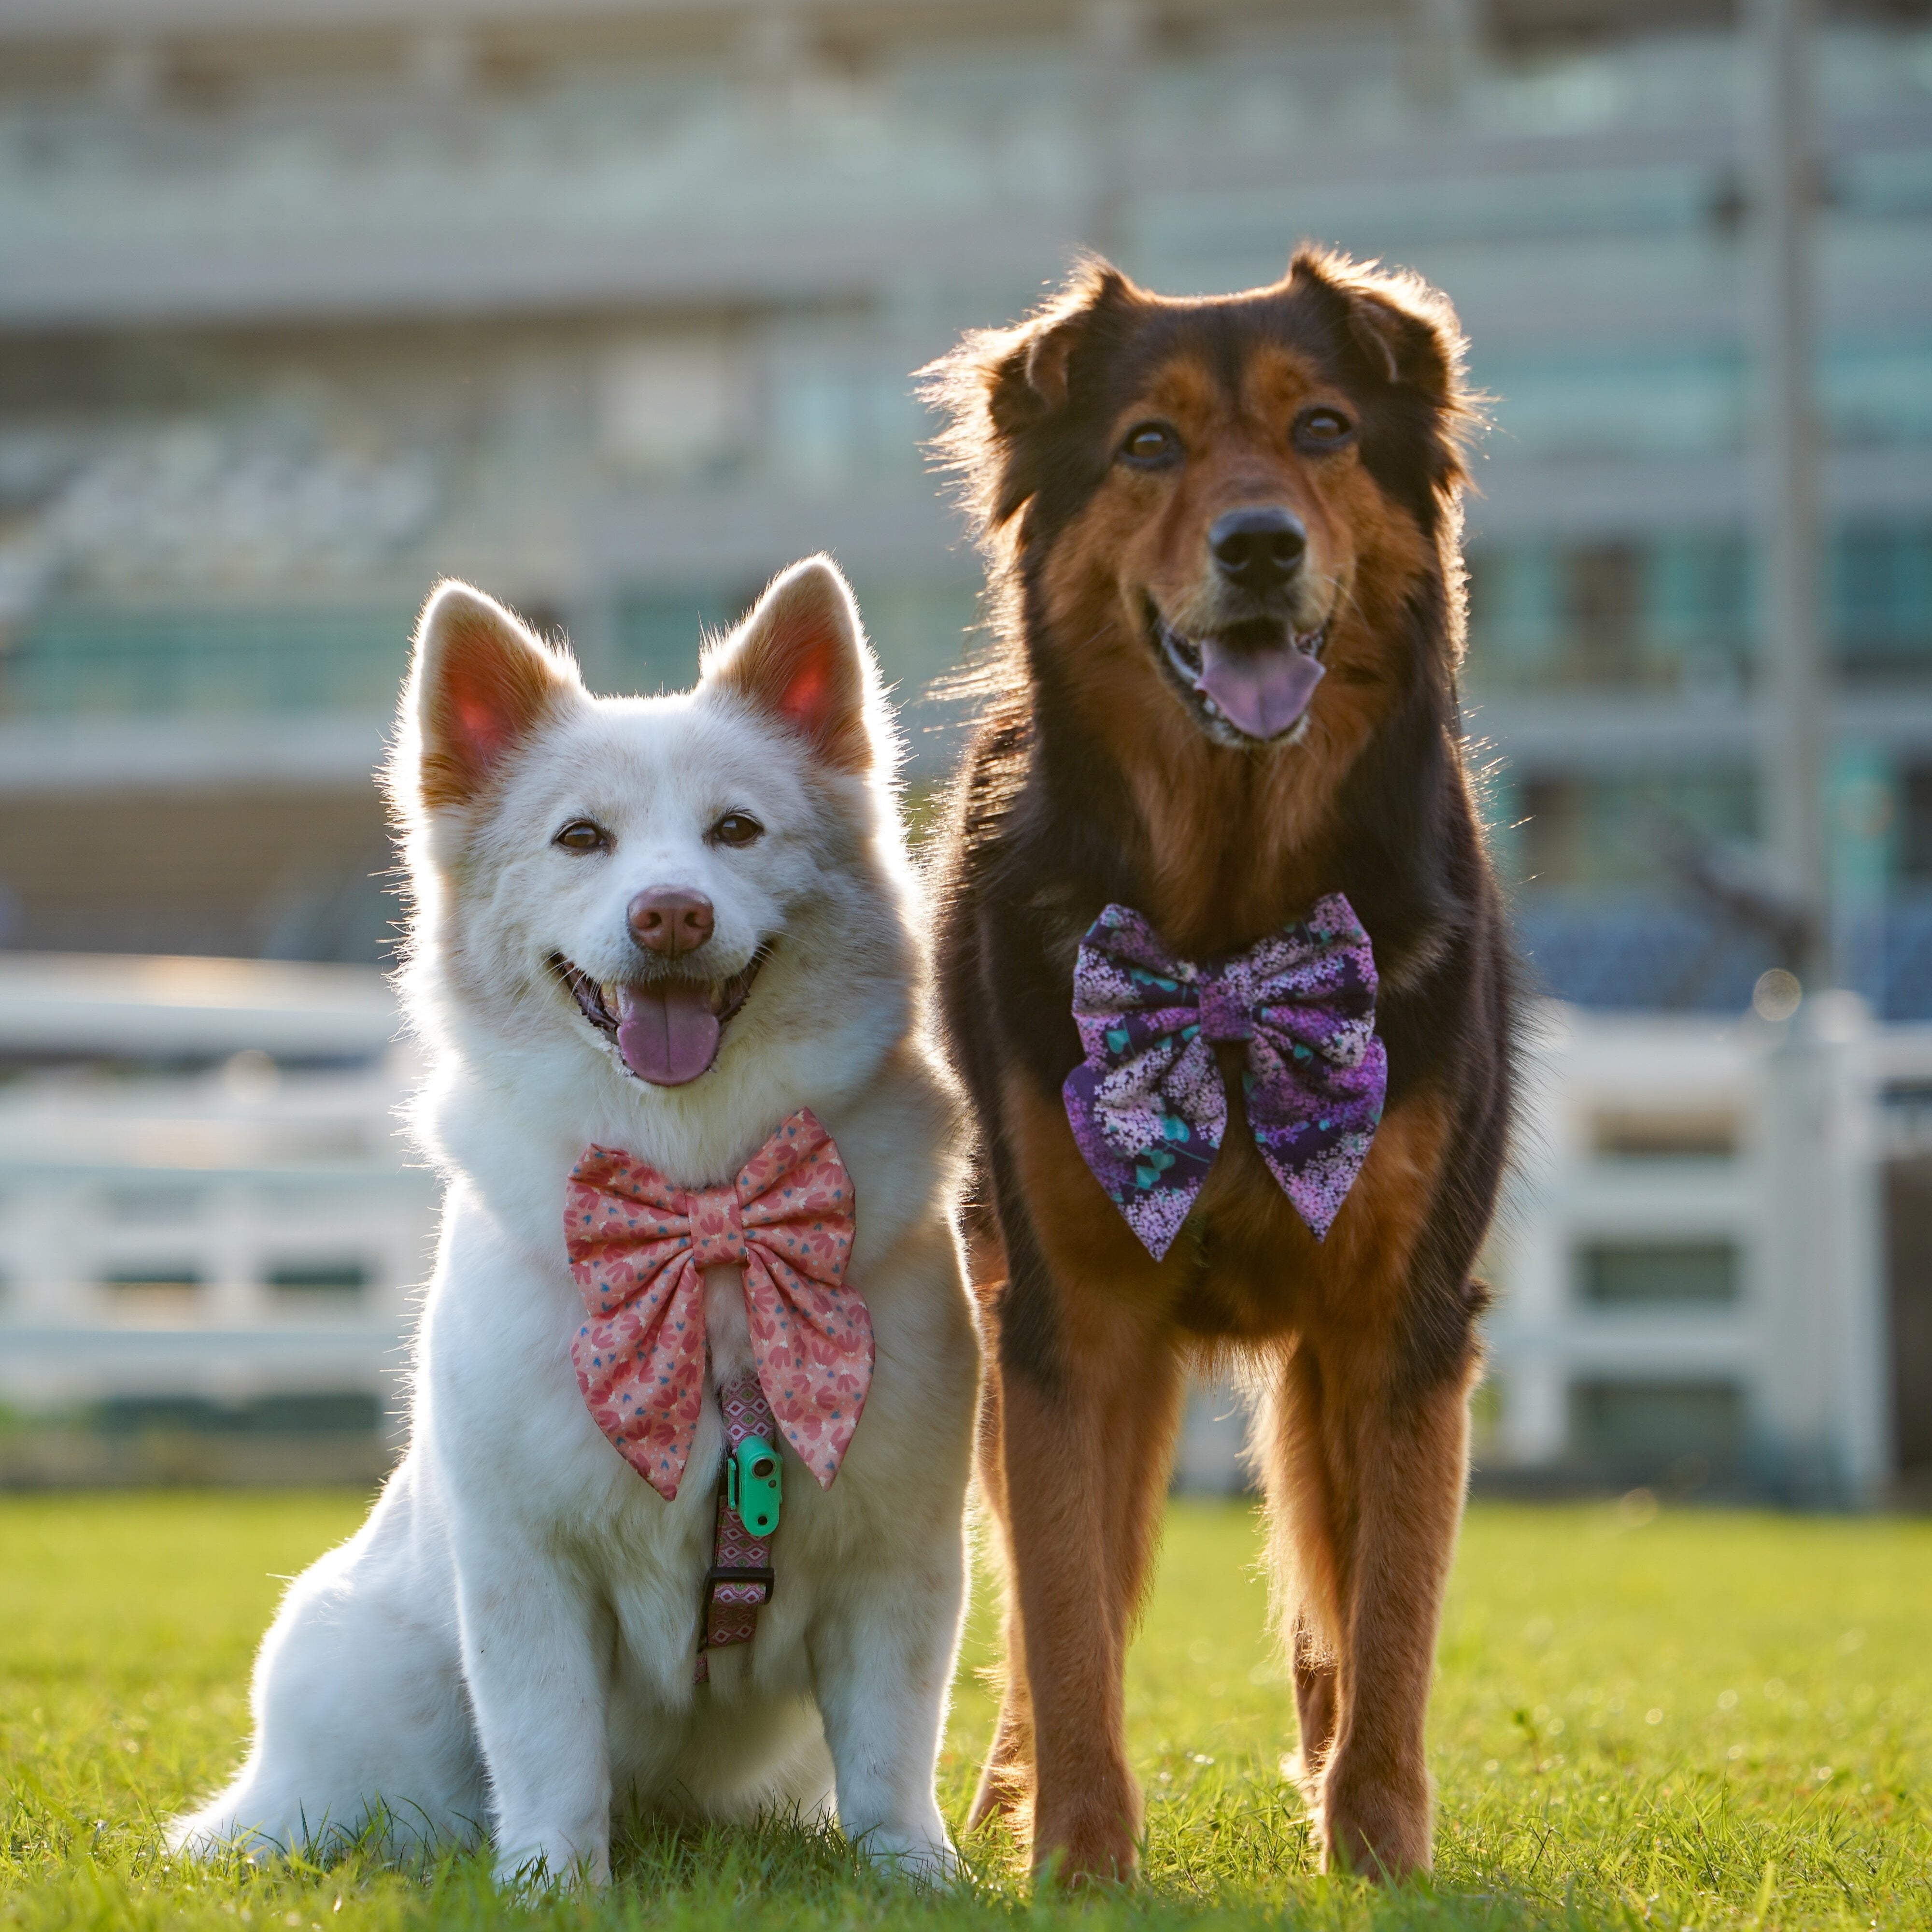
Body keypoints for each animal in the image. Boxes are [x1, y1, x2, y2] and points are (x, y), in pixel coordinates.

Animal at [166, 552, 981, 1878]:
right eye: (581, 840)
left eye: (735, 830)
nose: (670, 913)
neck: (701, 1208)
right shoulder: (525, 1566)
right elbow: (548, 1746)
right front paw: (553, 1881)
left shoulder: (895, 1559)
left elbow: (890, 1755)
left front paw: (912, 1875)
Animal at [927, 245, 1515, 1886]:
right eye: (1147, 445)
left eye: (1323, 431)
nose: (1258, 548)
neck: (1234, 928)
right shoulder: (1068, 1319)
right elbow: (1067, 1619)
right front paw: (1074, 1859)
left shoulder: (1400, 1319)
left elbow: (1386, 1619)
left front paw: (1377, 1851)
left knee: (1325, 1591)